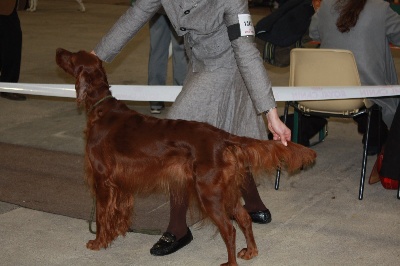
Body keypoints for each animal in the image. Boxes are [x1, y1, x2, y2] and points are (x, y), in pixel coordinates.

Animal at [55, 48, 316, 266]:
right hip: (224, 191)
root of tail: (221, 136)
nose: (58, 50)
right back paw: (250, 251)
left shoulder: (101, 178)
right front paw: (115, 234)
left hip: (208, 192)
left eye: (72, 57)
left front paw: (98, 242)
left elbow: (100, 215)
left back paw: (230, 263)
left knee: (229, 229)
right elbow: (117, 213)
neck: (101, 108)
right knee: (243, 218)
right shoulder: (120, 182)